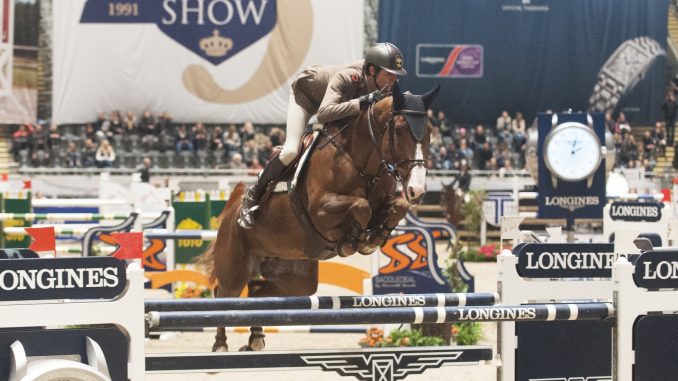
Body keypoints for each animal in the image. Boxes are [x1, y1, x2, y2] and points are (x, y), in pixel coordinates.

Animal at [198, 83, 440, 350]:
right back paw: (221, 343)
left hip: (294, 276)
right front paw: (355, 241)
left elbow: (398, 206)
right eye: (398, 130)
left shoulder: (388, 199)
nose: (417, 189)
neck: (362, 162)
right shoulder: (321, 209)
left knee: (257, 290)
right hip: (235, 266)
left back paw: (256, 339)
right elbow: (361, 205)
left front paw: (374, 237)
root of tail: (232, 211)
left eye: (429, 132)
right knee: (223, 295)